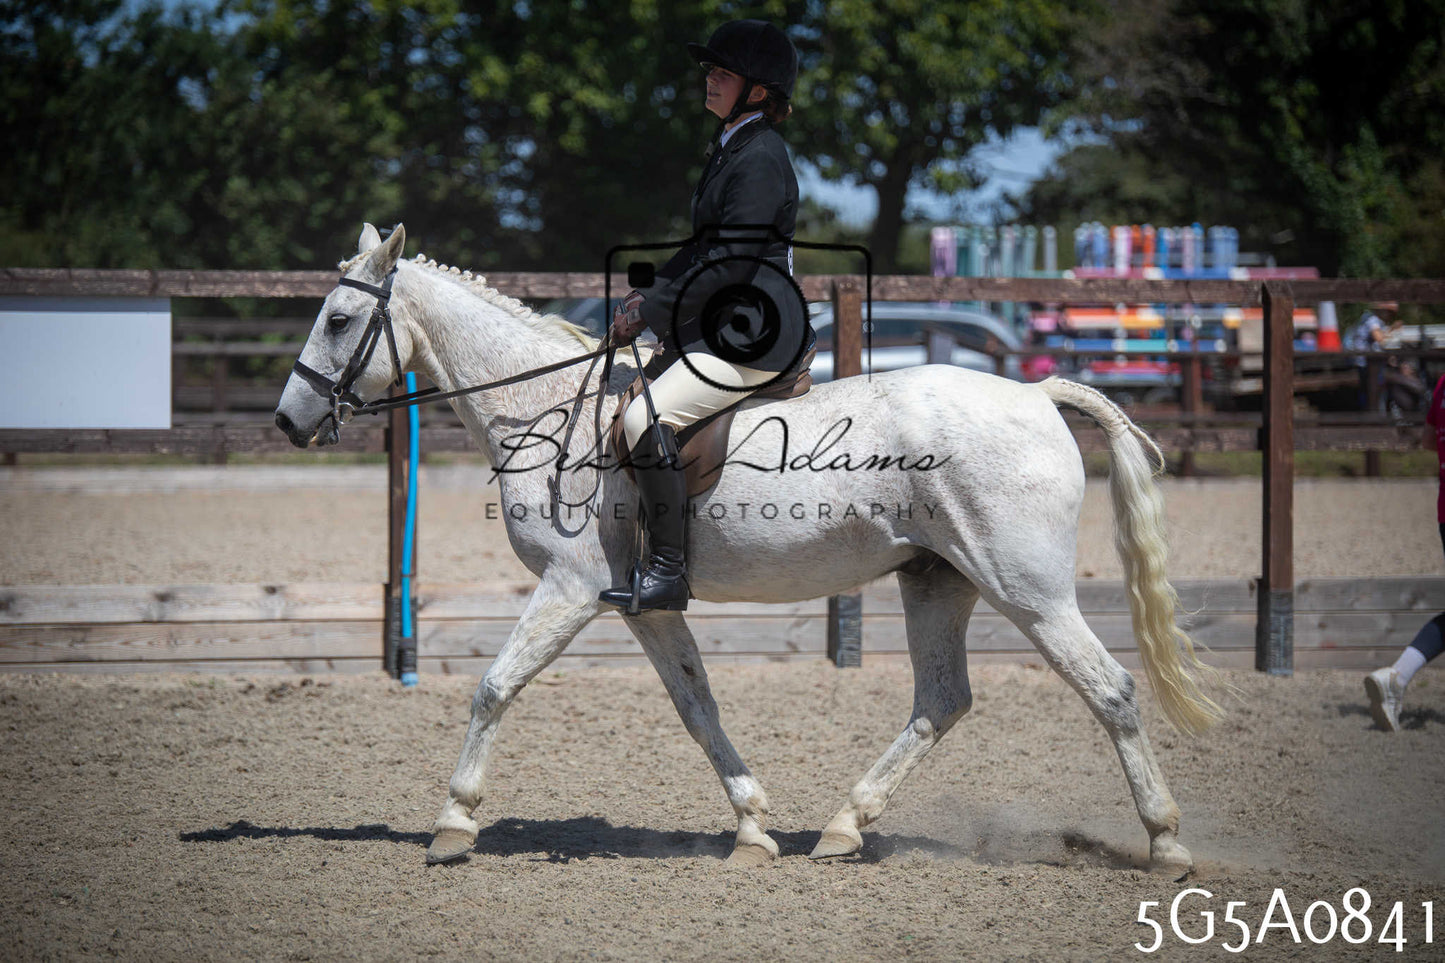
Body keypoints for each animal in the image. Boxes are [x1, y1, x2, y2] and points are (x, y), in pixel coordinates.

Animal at [274, 223, 1221, 871]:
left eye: (340, 318)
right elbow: (699, 708)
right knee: (941, 699)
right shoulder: (642, 605)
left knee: (1109, 689)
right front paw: (753, 826)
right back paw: (842, 826)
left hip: (1025, 588)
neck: (547, 409)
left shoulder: (569, 588)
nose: (286, 421)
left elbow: (493, 687)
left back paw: (1167, 844)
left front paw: (453, 822)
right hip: (936, 579)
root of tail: (1034, 393)